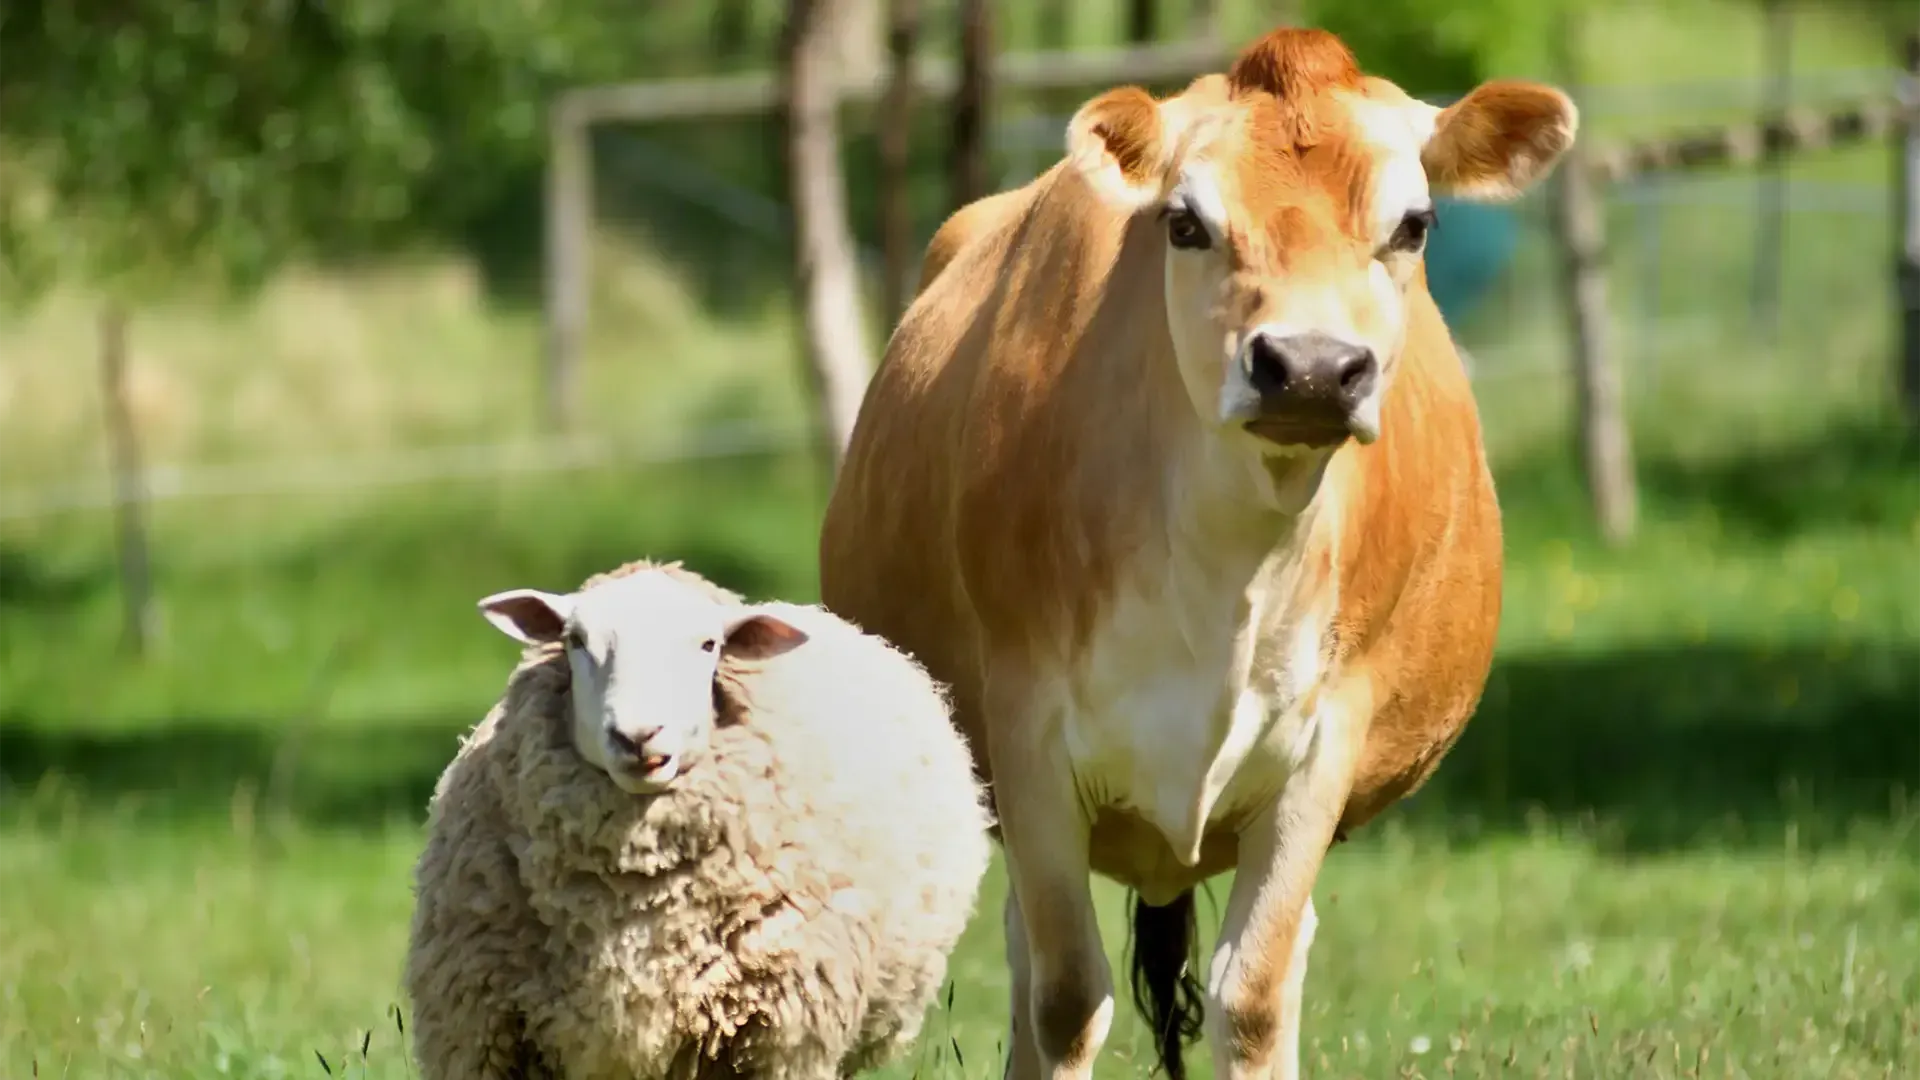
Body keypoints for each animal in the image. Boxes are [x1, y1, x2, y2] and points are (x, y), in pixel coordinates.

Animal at [403, 558, 995, 1080]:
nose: (638, 737)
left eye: (709, 645)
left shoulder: (778, 1038)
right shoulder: (485, 1032)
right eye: (575, 640)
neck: (635, 898)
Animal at [818, 26, 1574, 1080]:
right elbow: (1064, 999)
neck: (1228, 576)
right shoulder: (1027, 736)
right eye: (1184, 223)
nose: (1311, 368)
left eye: (1415, 224)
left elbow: (1251, 997)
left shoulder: (1323, 751)